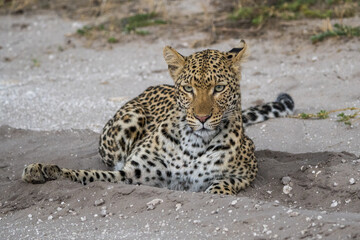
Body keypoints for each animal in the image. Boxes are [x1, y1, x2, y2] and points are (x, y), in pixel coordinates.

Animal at [22, 40, 294, 195]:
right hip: (127, 124)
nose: (202, 117)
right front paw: (44, 170)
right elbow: (87, 175)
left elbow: (220, 188)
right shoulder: (132, 174)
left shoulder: (244, 174)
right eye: (188, 89)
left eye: (219, 88)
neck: (195, 145)